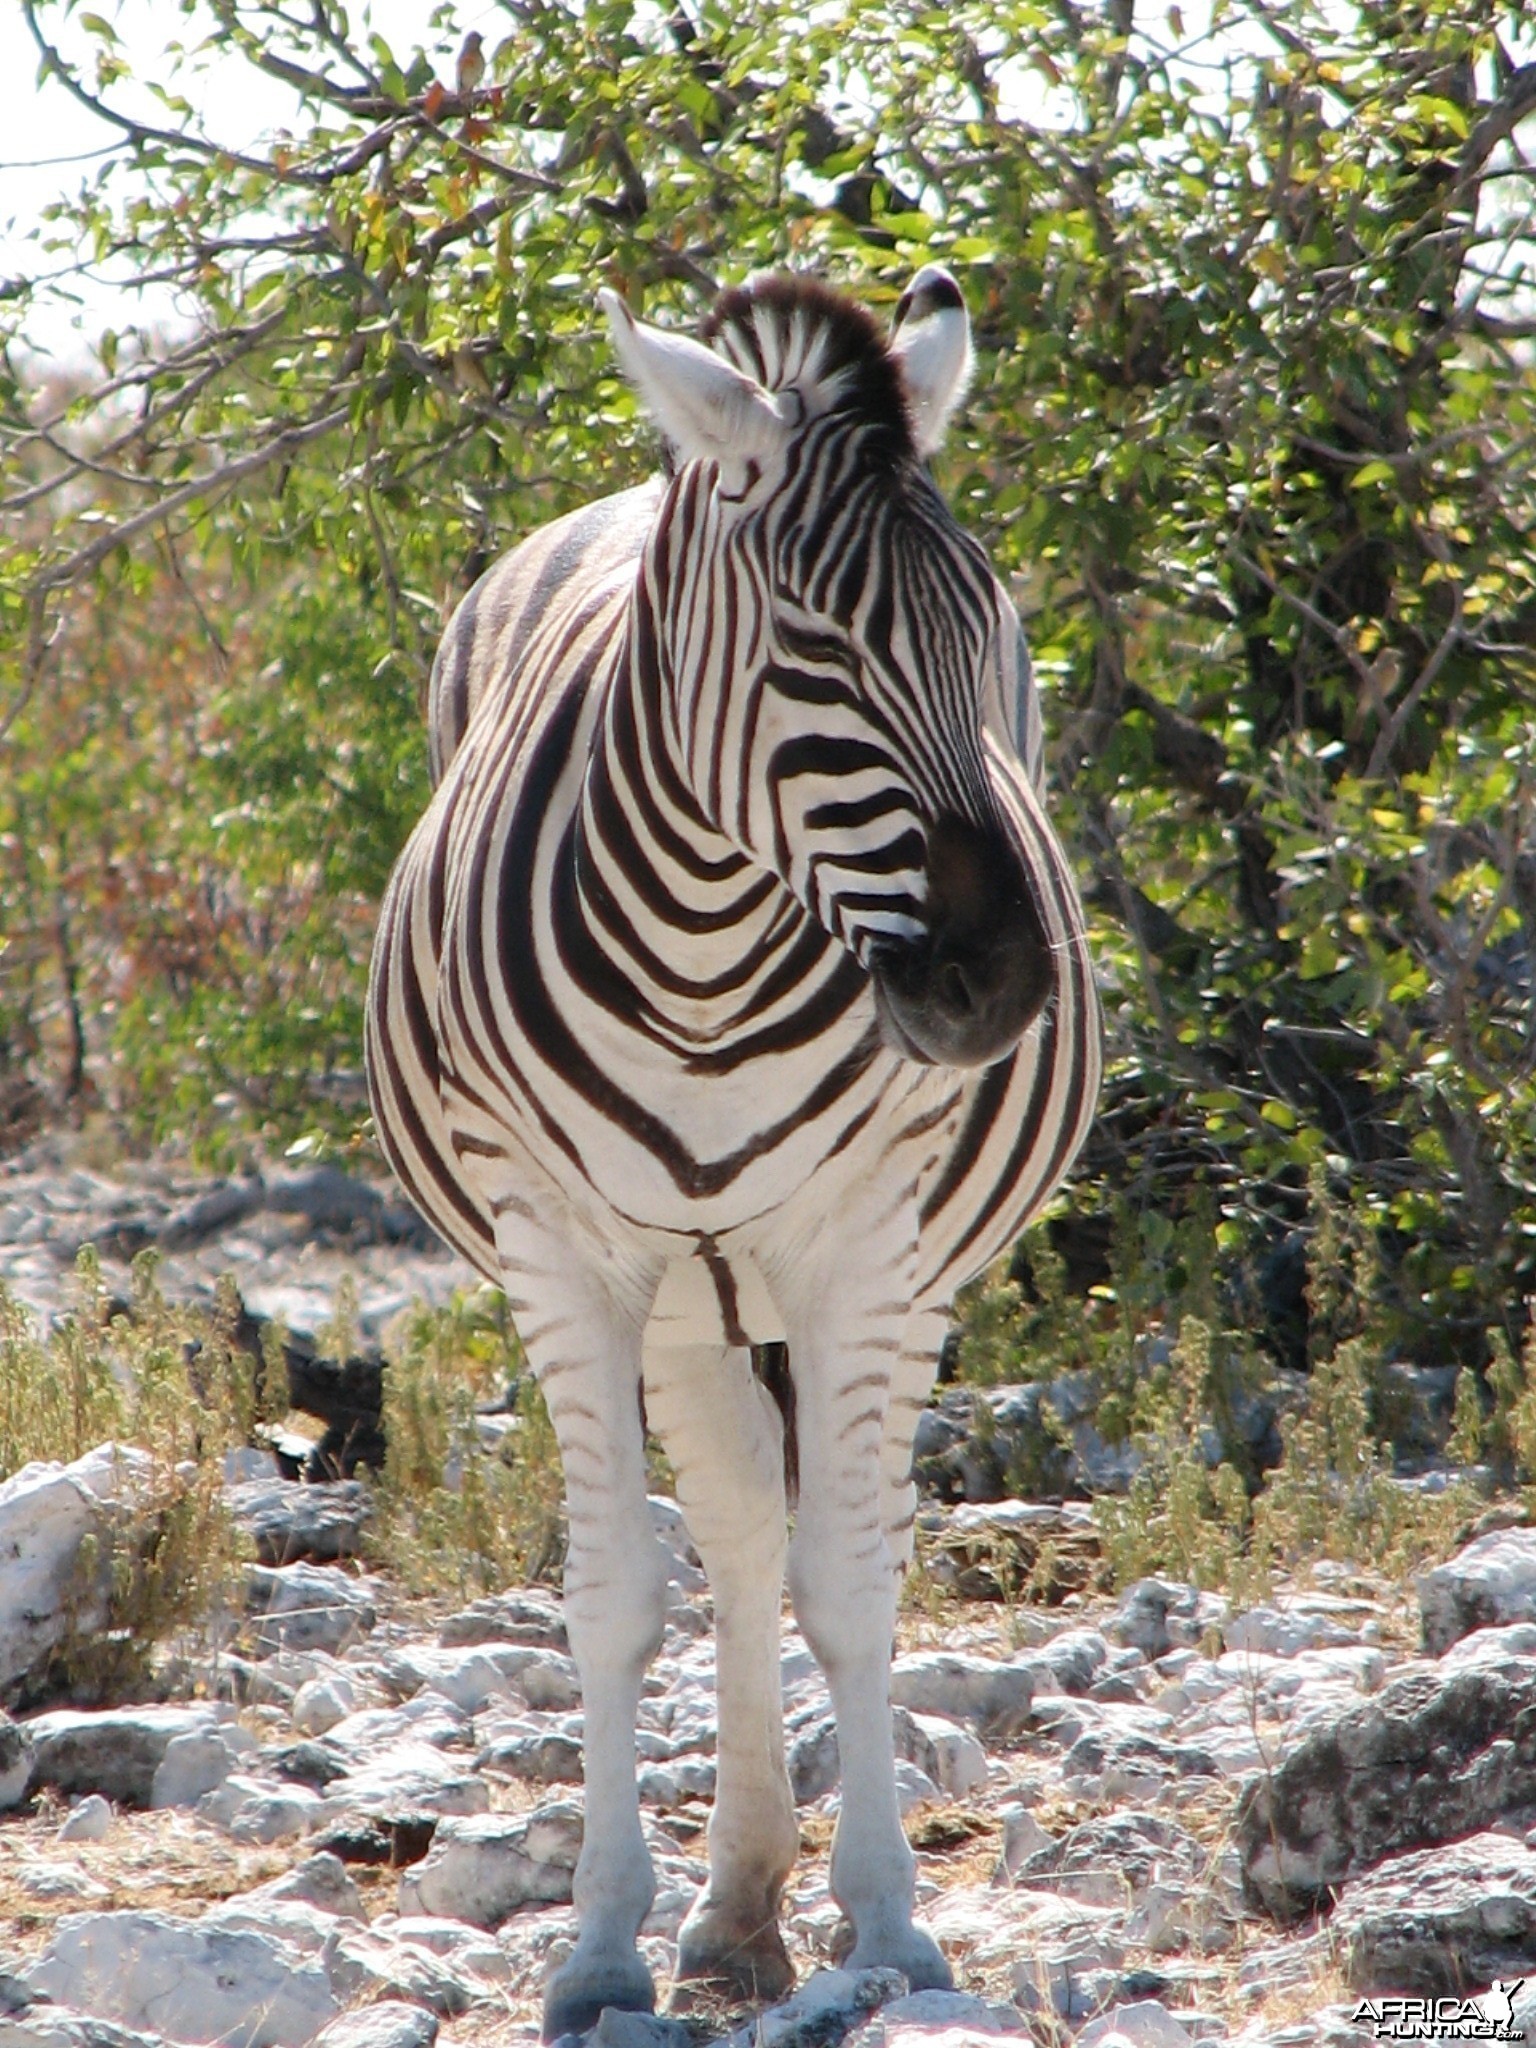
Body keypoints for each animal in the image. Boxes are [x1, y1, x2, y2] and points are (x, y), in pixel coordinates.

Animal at [366, 268, 1097, 2031]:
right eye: (814, 647)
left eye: (991, 627)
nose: (1000, 990)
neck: (706, 948)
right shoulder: (563, 1256)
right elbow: (617, 1596)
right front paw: (599, 1948)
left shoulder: (872, 1253)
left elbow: (851, 1584)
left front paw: (889, 1926)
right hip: (689, 1298)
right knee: (740, 1519)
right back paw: (731, 1907)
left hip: (826, 1276)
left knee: (789, 1533)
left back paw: (758, 1903)